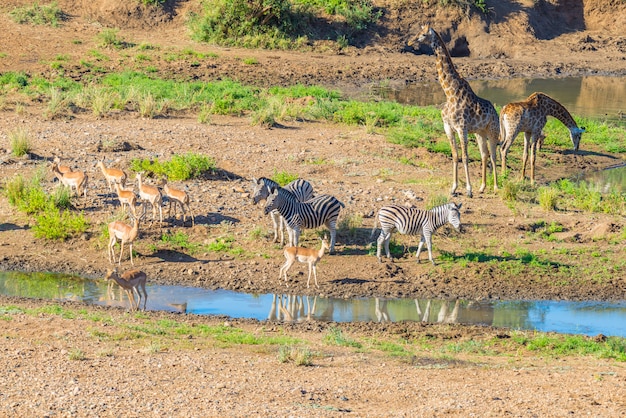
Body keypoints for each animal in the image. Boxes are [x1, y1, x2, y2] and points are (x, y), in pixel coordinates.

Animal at [404, 27, 498, 198]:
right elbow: (455, 156)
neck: (450, 93)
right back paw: (482, 187)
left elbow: (465, 157)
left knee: (494, 155)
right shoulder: (448, 128)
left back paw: (495, 187)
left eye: (423, 34)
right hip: (480, 133)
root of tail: (495, 111)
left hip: (493, 131)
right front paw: (454, 188)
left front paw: (468, 190)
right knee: (484, 154)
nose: (409, 42)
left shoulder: (462, 128)